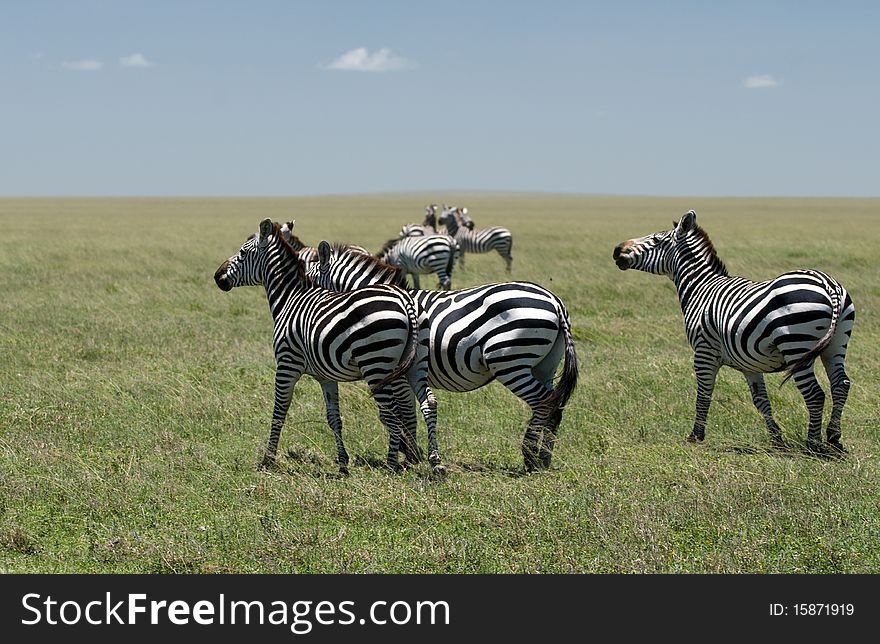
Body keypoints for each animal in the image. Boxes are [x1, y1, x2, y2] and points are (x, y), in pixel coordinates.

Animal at [214, 219, 446, 476]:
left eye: (243, 253)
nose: (217, 276)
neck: (289, 298)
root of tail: (406, 300)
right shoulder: (325, 376)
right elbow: (334, 417)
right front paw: (343, 463)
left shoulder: (286, 364)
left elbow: (279, 412)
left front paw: (268, 459)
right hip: (416, 363)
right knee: (428, 403)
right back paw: (435, 462)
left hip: (376, 366)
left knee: (392, 410)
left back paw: (392, 463)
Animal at [302, 242, 576, 472]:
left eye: (308, 280)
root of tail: (555, 301)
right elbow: (403, 412)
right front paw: (411, 452)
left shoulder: (396, 375)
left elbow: (402, 413)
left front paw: (410, 454)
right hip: (545, 365)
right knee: (555, 405)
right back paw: (544, 458)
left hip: (510, 362)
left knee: (543, 402)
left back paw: (529, 456)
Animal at [612, 211, 852, 452]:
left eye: (656, 240)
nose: (616, 250)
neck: (701, 288)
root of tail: (828, 284)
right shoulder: (749, 363)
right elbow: (761, 400)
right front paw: (776, 439)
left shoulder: (704, 352)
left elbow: (704, 394)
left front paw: (696, 436)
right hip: (836, 344)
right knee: (841, 384)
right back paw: (834, 438)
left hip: (796, 345)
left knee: (814, 394)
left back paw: (813, 444)